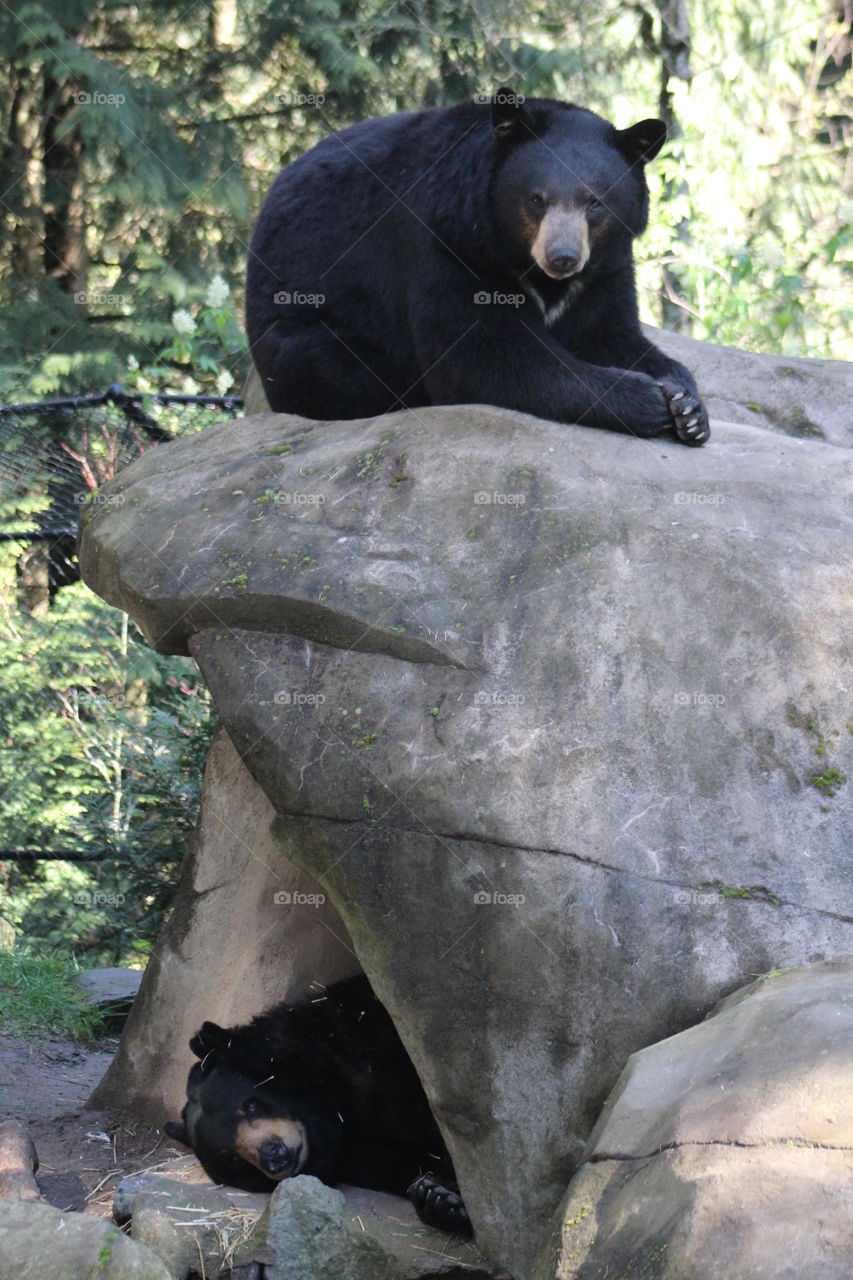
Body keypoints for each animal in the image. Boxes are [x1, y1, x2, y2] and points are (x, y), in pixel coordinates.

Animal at [164, 974, 470, 1234]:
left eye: (249, 1105)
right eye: (232, 1158)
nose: (275, 1156)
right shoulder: (360, 1154)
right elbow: (403, 1164)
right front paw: (438, 1199)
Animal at [246, 87, 709, 446]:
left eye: (594, 203)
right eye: (536, 199)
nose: (562, 257)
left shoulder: (606, 265)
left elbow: (610, 333)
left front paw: (687, 406)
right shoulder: (449, 243)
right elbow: (485, 355)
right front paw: (648, 400)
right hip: (305, 325)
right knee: (325, 363)